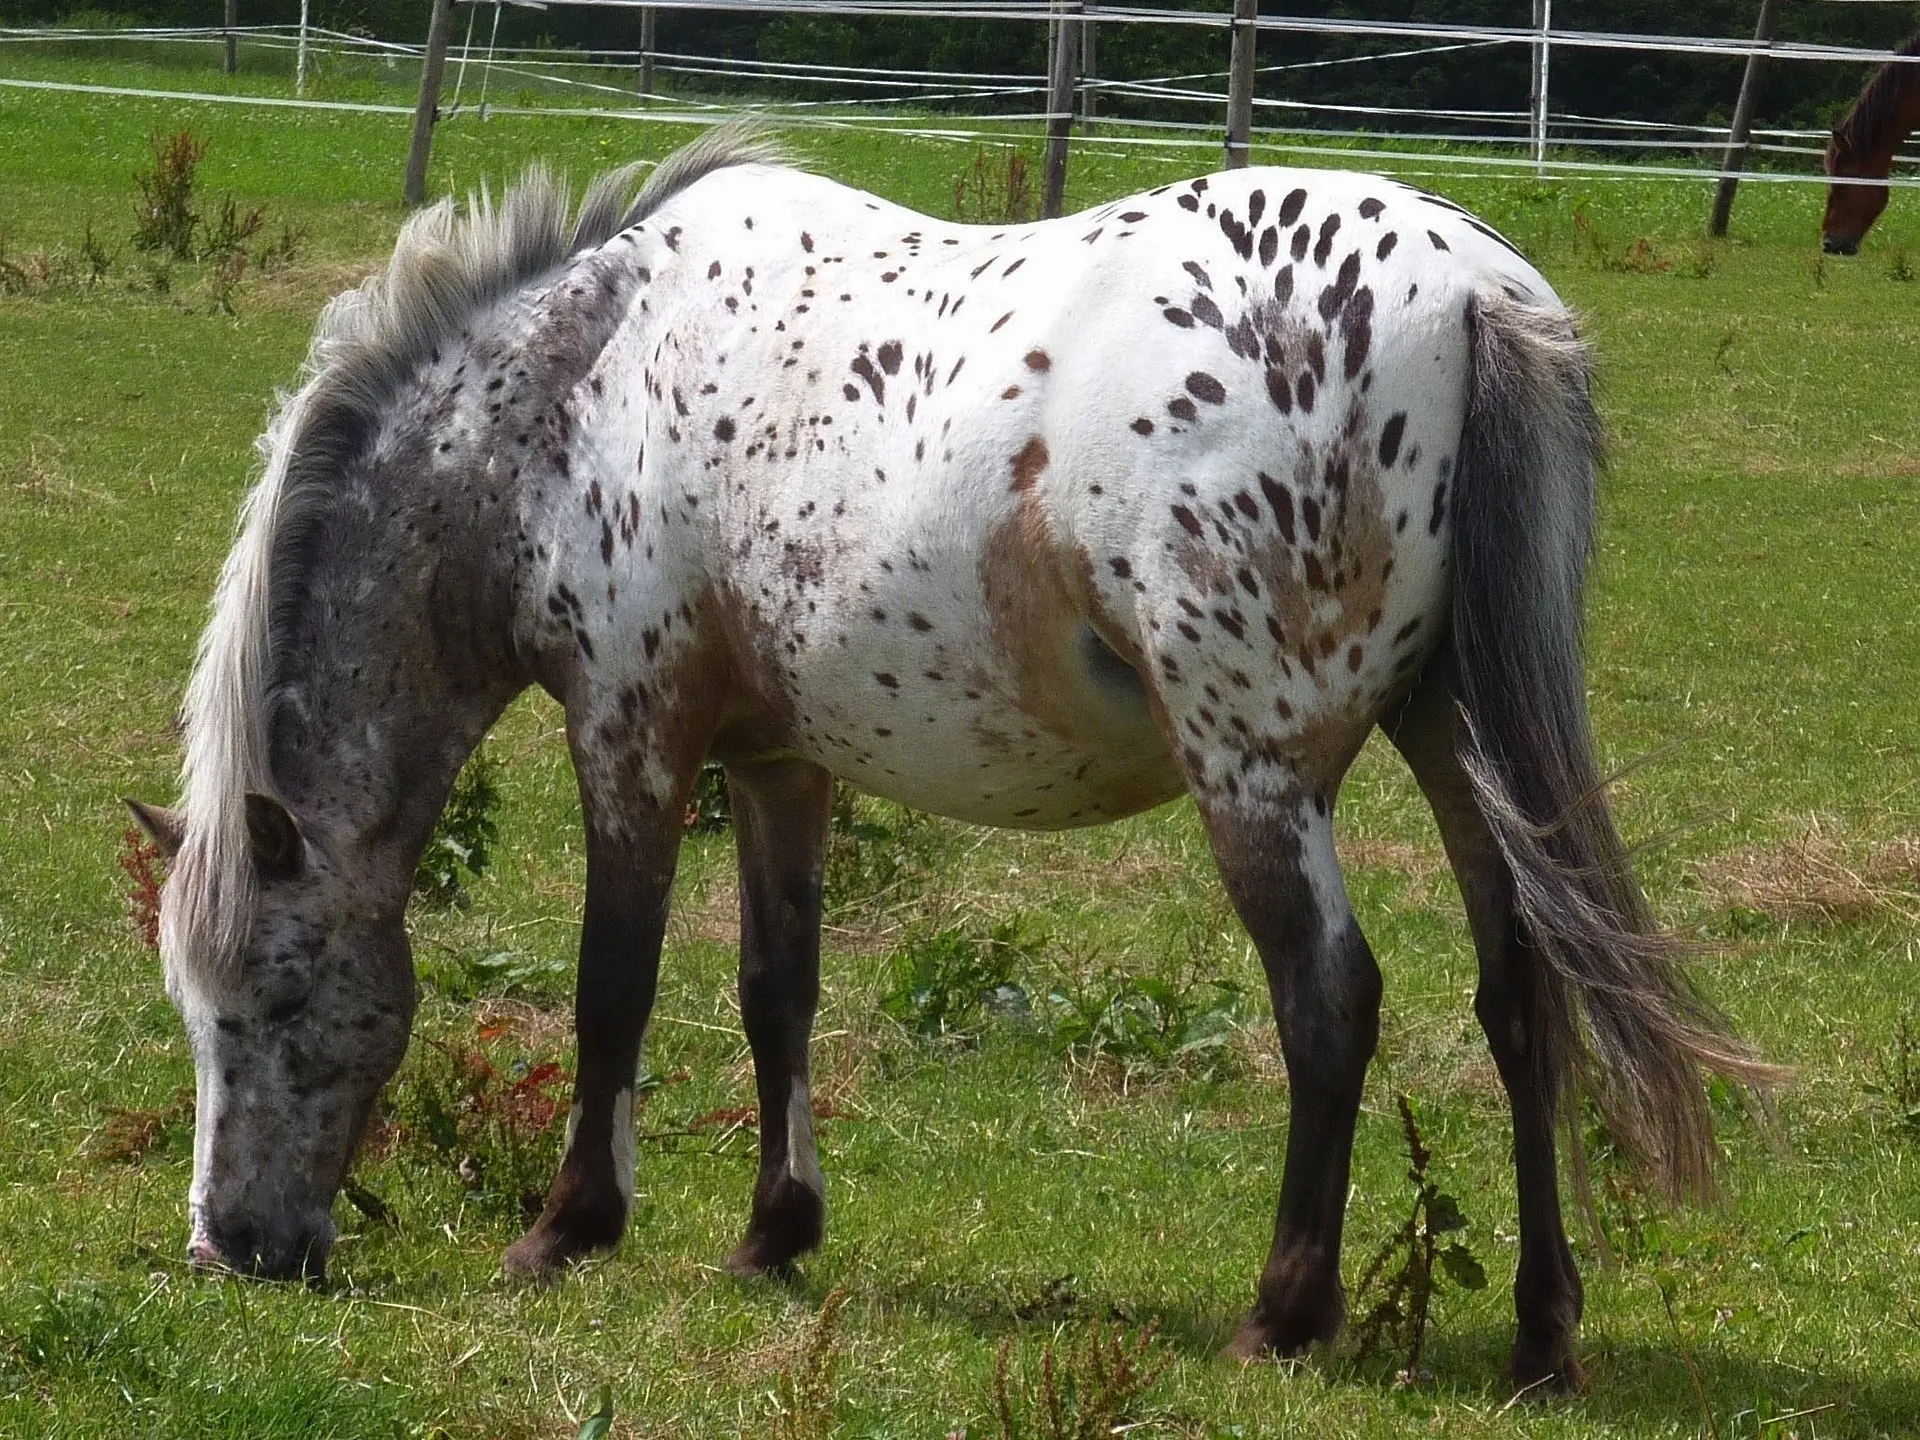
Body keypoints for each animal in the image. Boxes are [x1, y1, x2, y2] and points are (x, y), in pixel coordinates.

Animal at [128, 121, 1767, 1392]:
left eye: (271, 1000)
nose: (232, 1250)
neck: (578, 393)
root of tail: (1476, 291)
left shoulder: (630, 733)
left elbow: (614, 987)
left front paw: (568, 1228)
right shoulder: (775, 763)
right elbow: (775, 990)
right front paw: (772, 1233)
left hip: (1256, 769)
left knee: (1331, 1002)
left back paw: (1282, 1315)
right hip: (1459, 745)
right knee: (1523, 1002)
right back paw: (1543, 1340)